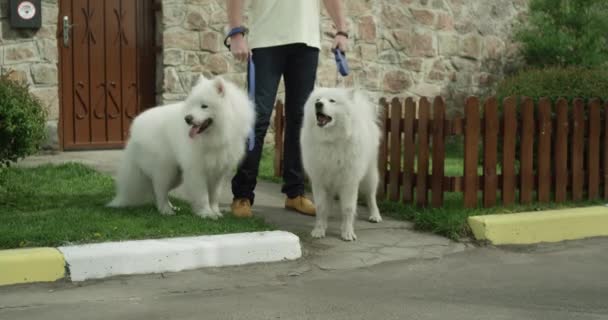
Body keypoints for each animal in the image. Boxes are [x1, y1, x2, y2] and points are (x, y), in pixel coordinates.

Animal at [107, 75, 254, 220]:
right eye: (193, 105)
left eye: (204, 106)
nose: (187, 119)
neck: (216, 134)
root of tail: (135, 128)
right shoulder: (197, 171)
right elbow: (203, 195)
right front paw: (206, 213)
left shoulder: (218, 172)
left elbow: (214, 196)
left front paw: (215, 212)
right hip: (165, 170)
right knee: (159, 190)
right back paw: (166, 210)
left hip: (175, 176)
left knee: (157, 190)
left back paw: (169, 207)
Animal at [300, 87, 382, 240]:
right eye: (317, 100)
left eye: (332, 101)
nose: (318, 105)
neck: (331, 140)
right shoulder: (320, 180)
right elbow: (321, 207)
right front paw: (319, 230)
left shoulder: (349, 181)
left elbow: (348, 208)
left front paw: (347, 233)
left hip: (369, 176)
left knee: (371, 196)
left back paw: (375, 215)